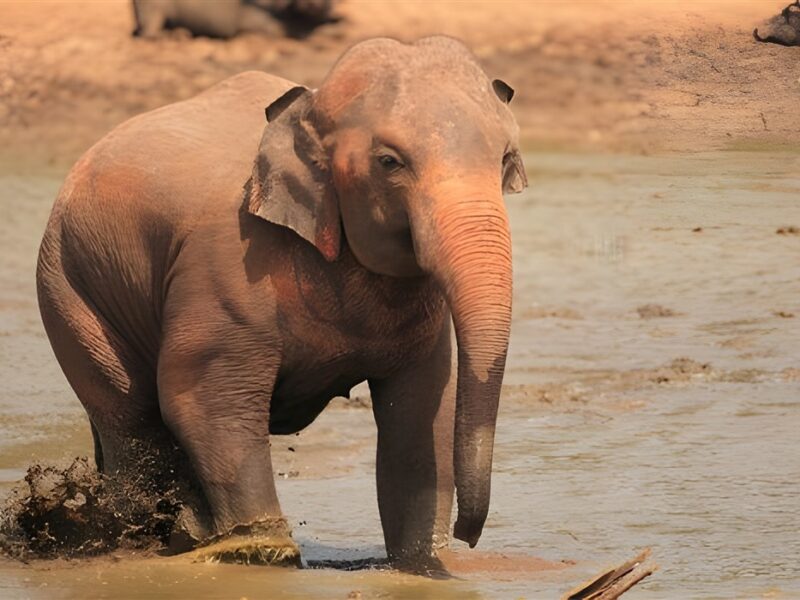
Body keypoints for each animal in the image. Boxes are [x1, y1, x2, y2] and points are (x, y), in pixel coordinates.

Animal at [36, 36, 527, 568]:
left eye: (506, 159)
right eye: (389, 162)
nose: (468, 535)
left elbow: (422, 413)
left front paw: (420, 563)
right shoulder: (226, 263)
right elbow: (204, 400)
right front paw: (263, 551)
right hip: (69, 288)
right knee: (131, 419)